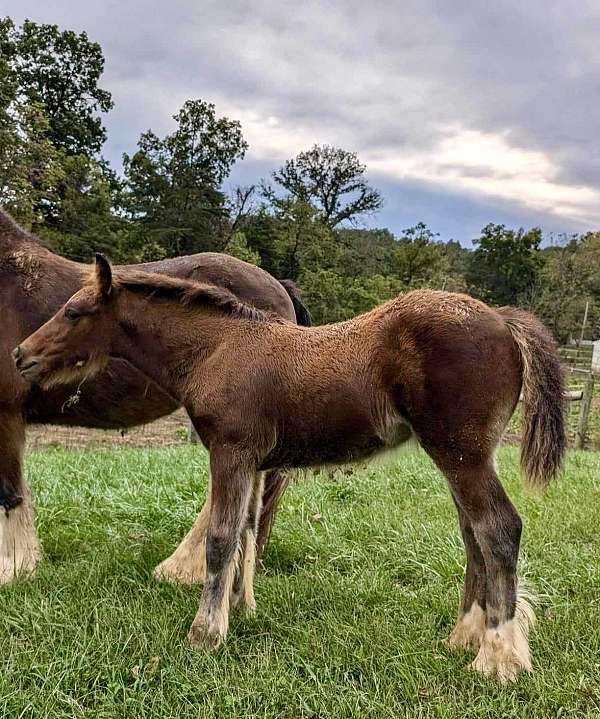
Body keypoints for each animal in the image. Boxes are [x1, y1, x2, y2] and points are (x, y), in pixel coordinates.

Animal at [0, 208, 310, 584]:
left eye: (72, 313)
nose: (21, 355)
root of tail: (280, 286)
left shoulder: (5, 413)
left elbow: (10, 495)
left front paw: (14, 569)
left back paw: (184, 569)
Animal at [15, 256, 568, 684]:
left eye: (73, 311)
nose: (22, 354)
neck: (217, 350)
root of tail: (503, 319)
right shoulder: (256, 462)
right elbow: (246, 531)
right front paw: (240, 610)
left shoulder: (231, 453)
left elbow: (221, 538)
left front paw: (205, 634)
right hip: (461, 456)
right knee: (473, 533)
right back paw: (464, 636)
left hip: (461, 452)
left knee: (498, 528)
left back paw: (497, 657)